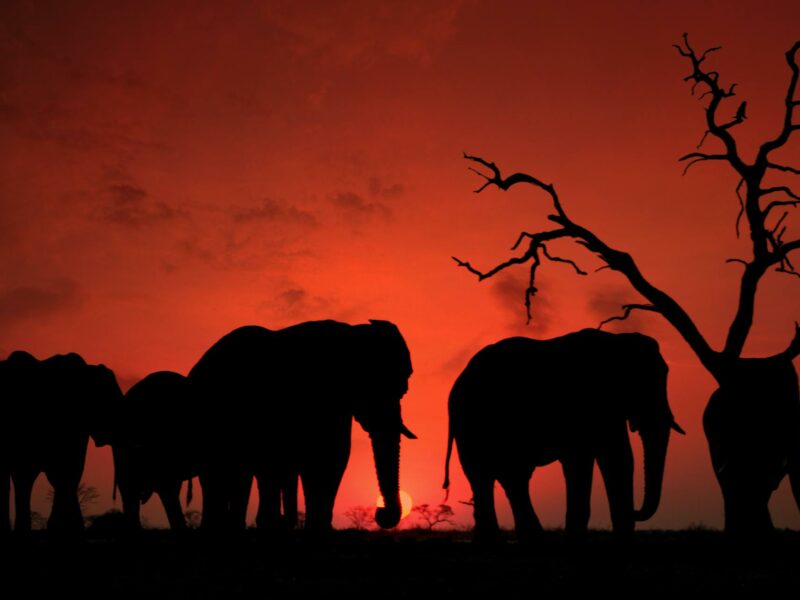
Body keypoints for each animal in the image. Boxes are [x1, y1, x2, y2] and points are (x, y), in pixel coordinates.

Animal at [443, 329, 684, 542]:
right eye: (641, 381)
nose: (635, 510)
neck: (616, 340)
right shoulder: (587, 401)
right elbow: (590, 460)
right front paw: (577, 540)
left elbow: (617, 458)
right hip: (476, 423)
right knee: (494, 474)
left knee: (505, 477)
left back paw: (520, 540)